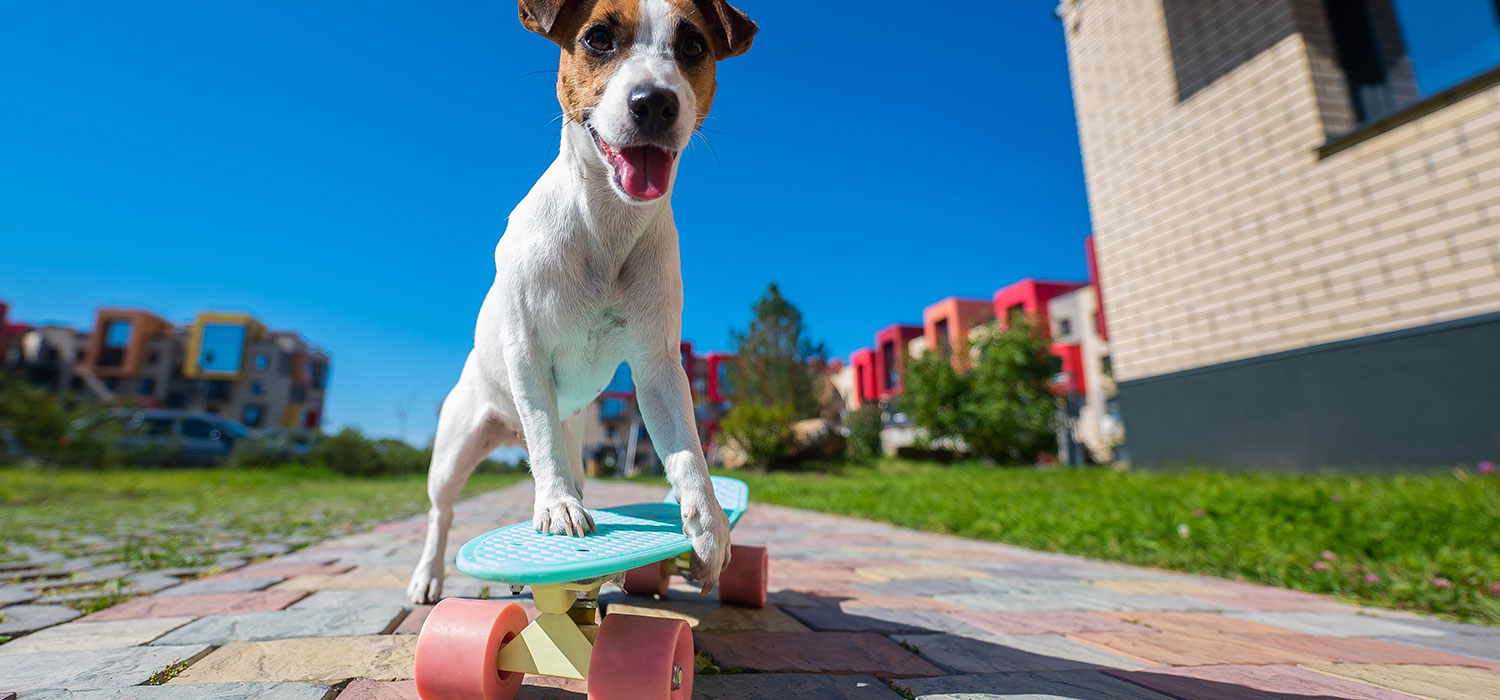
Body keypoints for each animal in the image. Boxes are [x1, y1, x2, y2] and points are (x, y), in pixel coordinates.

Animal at [408, 0, 756, 608]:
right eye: (597, 38)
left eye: (693, 45)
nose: (654, 101)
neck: (608, 224)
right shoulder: (526, 350)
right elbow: (542, 435)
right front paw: (557, 507)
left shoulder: (658, 366)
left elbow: (688, 452)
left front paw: (709, 528)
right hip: (455, 448)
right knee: (442, 510)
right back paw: (430, 573)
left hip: (574, 437)